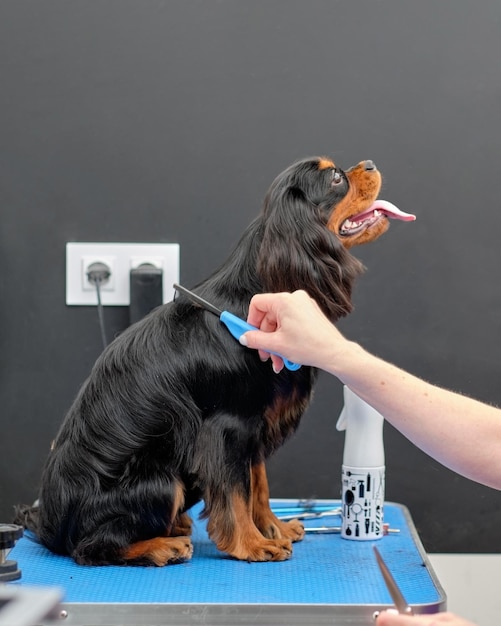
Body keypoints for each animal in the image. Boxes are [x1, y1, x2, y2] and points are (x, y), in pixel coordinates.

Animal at [19, 155, 412, 560]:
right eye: (335, 177)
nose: (370, 163)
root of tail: (49, 525)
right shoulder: (227, 427)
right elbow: (236, 491)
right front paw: (253, 544)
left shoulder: (254, 424)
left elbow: (258, 483)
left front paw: (273, 528)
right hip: (162, 480)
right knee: (92, 547)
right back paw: (163, 546)